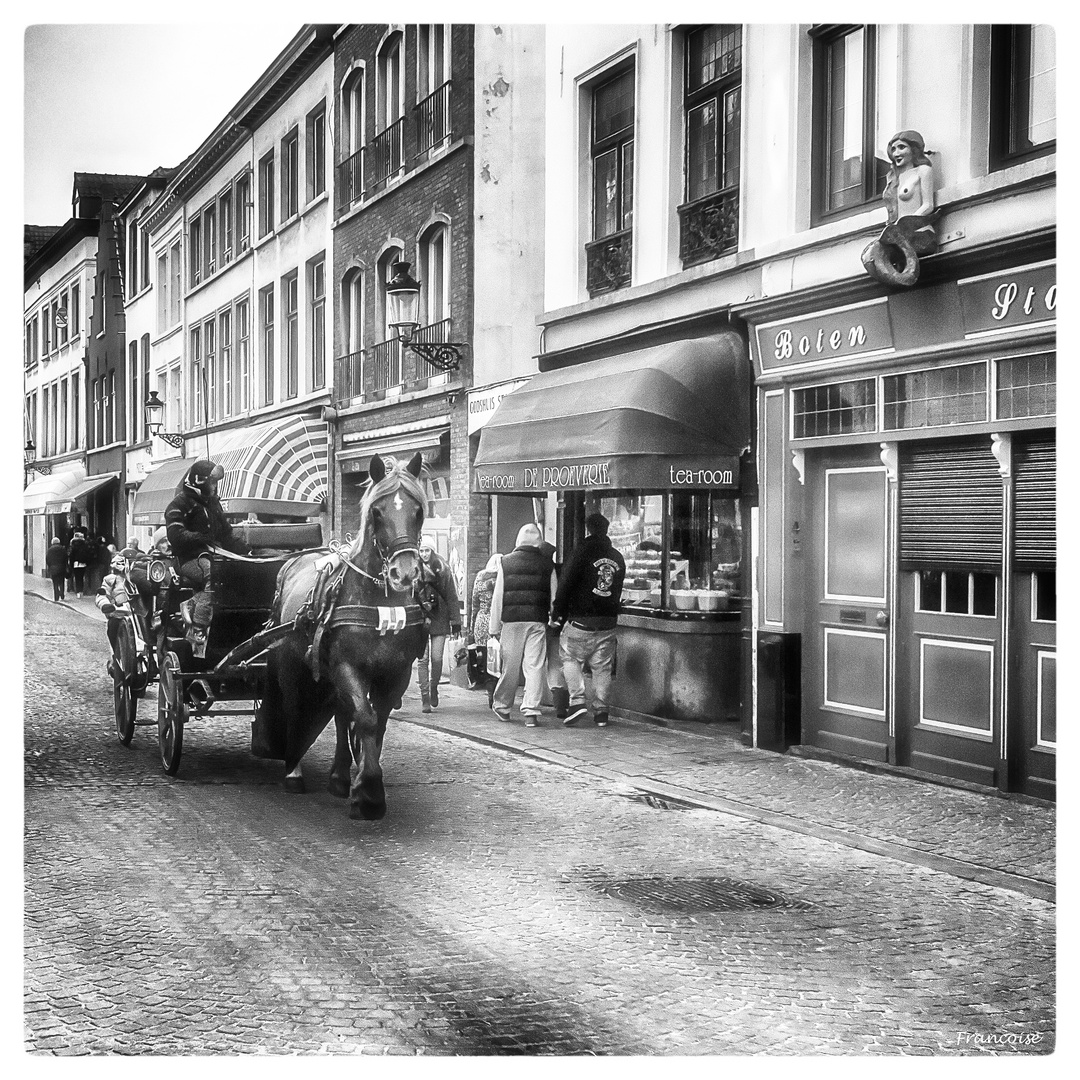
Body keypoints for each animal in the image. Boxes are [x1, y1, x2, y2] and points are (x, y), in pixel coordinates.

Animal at [259, 449, 427, 816]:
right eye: (377, 512)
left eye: (419, 511)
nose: (405, 573)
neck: (379, 601)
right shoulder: (347, 667)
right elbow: (364, 719)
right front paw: (368, 793)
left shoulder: (396, 673)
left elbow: (376, 723)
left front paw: (362, 780)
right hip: (292, 665)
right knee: (294, 709)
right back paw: (294, 771)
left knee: (338, 714)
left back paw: (338, 777)